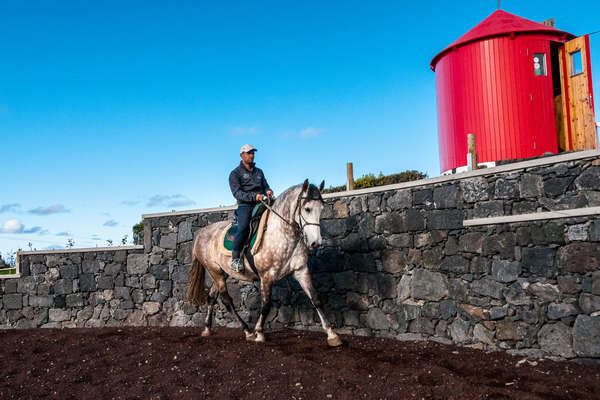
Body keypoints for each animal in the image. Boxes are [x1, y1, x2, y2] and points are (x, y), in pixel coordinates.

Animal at [188, 180, 342, 346]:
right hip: (215, 272)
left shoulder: (301, 271)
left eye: (321, 209)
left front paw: (332, 334)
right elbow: (266, 305)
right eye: (307, 209)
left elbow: (315, 299)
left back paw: (207, 329)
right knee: (226, 300)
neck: (282, 233)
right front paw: (259, 333)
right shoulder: (266, 276)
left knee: (211, 296)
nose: (316, 243)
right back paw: (247, 331)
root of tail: (201, 233)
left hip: (222, 273)